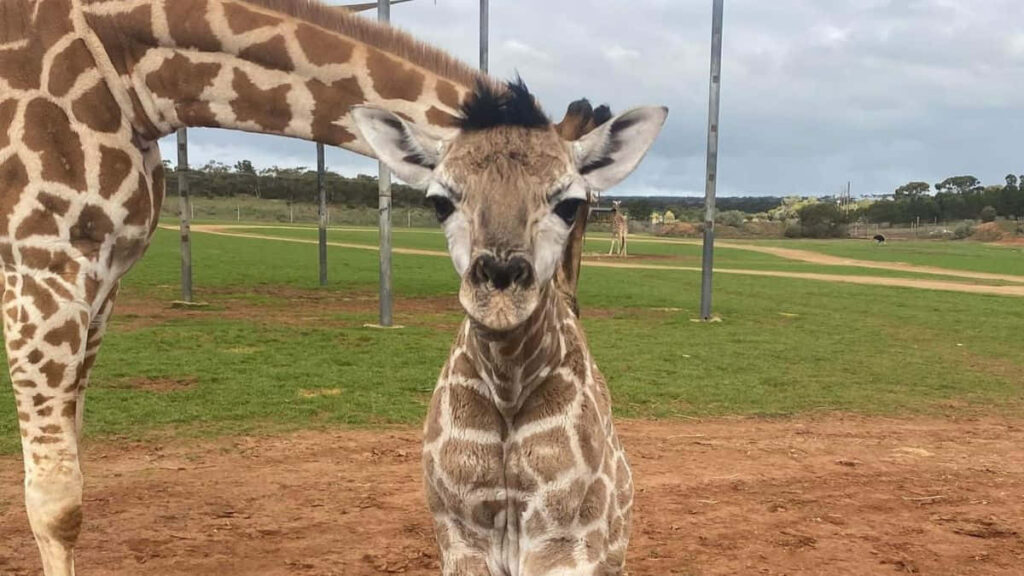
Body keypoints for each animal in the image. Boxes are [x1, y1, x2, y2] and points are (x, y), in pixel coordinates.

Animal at [352, 83, 668, 574]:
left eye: (570, 203)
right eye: (440, 201)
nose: (500, 292)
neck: (507, 388)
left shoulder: (566, 536)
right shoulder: (460, 531)